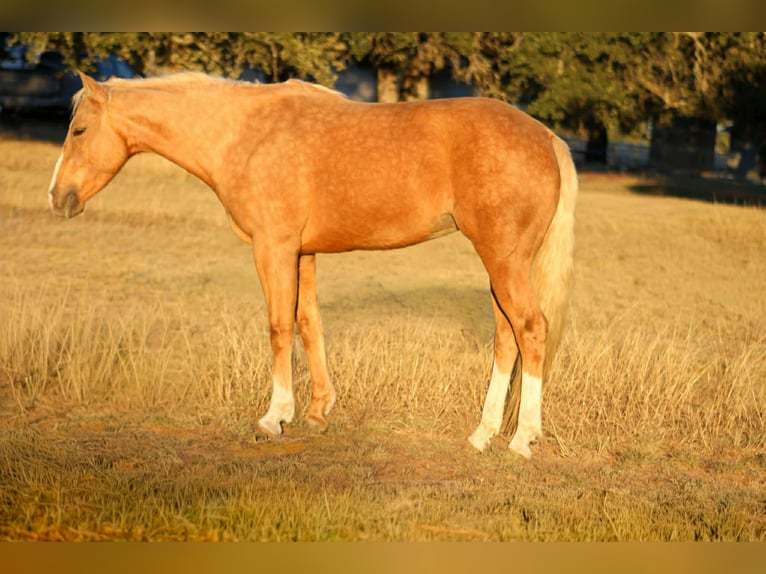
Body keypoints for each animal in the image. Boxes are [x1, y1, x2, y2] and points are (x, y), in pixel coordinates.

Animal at [48, 71, 577, 459]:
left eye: (79, 130)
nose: (57, 198)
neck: (247, 134)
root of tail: (547, 137)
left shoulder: (273, 247)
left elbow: (280, 326)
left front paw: (274, 416)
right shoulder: (302, 253)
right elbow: (309, 322)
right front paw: (319, 411)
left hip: (504, 261)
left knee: (530, 330)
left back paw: (521, 440)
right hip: (499, 265)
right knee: (506, 336)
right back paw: (482, 434)